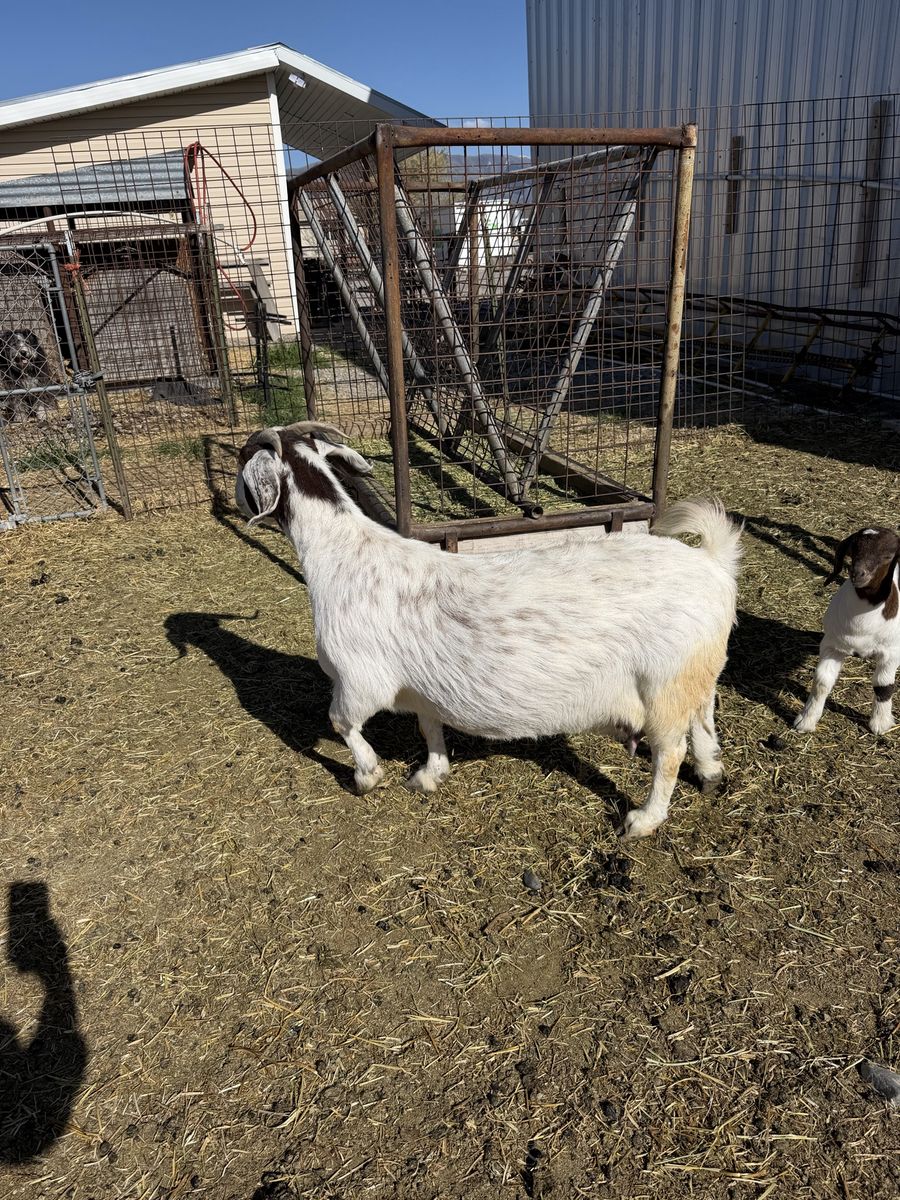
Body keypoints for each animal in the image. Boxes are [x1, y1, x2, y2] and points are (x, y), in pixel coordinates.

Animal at [235, 422, 743, 839]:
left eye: (242, 461)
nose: (240, 502)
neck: (342, 553)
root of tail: (712, 564)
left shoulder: (360, 679)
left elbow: (340, 721)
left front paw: (366, 776)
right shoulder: (421, 688)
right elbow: (428, 726)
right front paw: (429, 775)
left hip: (664, 686)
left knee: (670, 752)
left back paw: (643, 820)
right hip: (695, 675)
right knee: (703, 722)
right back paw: (711, 774)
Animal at [795, 527, 900, 735]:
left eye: (888, 556)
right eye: (853, 549)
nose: (858, 573)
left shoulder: (891, 653)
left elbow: (884, 686)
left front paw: (880, 723)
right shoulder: (833, 646)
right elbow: (822, 682)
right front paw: (806, 719)